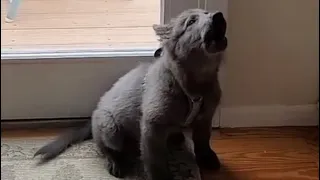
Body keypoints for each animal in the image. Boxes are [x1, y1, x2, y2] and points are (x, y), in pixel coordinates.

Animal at [35, 8, 228, 180]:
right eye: (191, 21)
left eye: (206, 12)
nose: (219, 16)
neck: (194, 84)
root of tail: (92, 120)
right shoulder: (152, 127)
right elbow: (155, 160)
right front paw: (162, 176)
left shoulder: (205, 117)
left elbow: (203, 140)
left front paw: (206, 158)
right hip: (110, 129)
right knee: (105, 148)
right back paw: (115, 162)